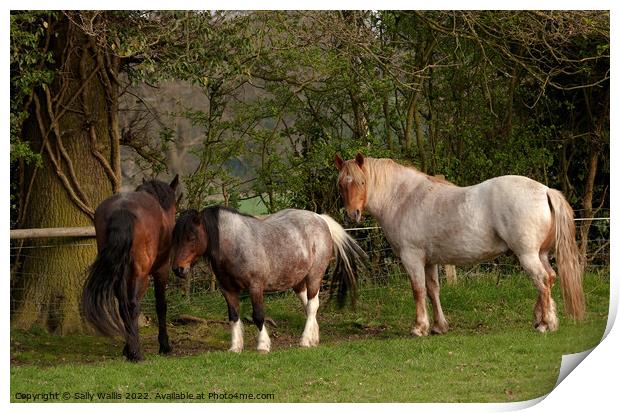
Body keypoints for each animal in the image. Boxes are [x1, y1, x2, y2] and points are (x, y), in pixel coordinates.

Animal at [81, 175, 179, 358]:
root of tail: (122, 210)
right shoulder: (161, 270)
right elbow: (161, 305)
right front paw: (164, 345)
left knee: (123, 305)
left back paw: (131, 348)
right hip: (140, 274)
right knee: (133, 304)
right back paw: (135, 353)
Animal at [170, 206, 366, 350]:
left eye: (191, 237)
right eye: (175, 238)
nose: (178, 269)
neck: (235, 244)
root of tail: (320, 218)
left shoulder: (255, 287)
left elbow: (258, 315)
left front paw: (263, 345)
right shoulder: (228, 290)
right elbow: (233, 316)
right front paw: (235, 347)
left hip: (314, 276)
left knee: (312, 306)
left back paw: (304, 341)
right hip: (297, 281)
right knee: (308, 305)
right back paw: (313, 337)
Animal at [336, 154, 584, 334]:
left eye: (362, 181)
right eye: (341, 184)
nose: (352, 214)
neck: (403, 198)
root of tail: (545, 190)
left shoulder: (412, 257)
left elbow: (418, 290)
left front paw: (419, 327)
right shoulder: (429, 261)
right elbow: (433, 290)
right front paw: (439, 326)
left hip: (527, 254)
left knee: (541, 280)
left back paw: (545, 324)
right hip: (540, 253)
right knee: (550, 277)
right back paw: (542, 319)